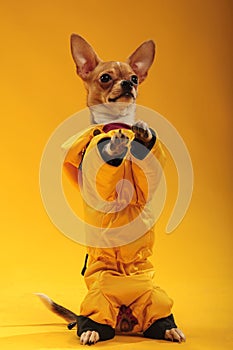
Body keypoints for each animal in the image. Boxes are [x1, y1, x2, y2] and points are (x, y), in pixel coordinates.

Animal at [37, 34, 186, 346]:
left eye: (135, 77)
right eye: (105, 77)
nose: (128, 84)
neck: (118, 123)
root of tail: (124, 317)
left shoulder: (146, 181)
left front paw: (143, 134)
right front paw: (114, 145)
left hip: (153, 292)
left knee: (156, 313)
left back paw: (167, 327)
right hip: (98, 291)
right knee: (93, 316)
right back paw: (91, 329)